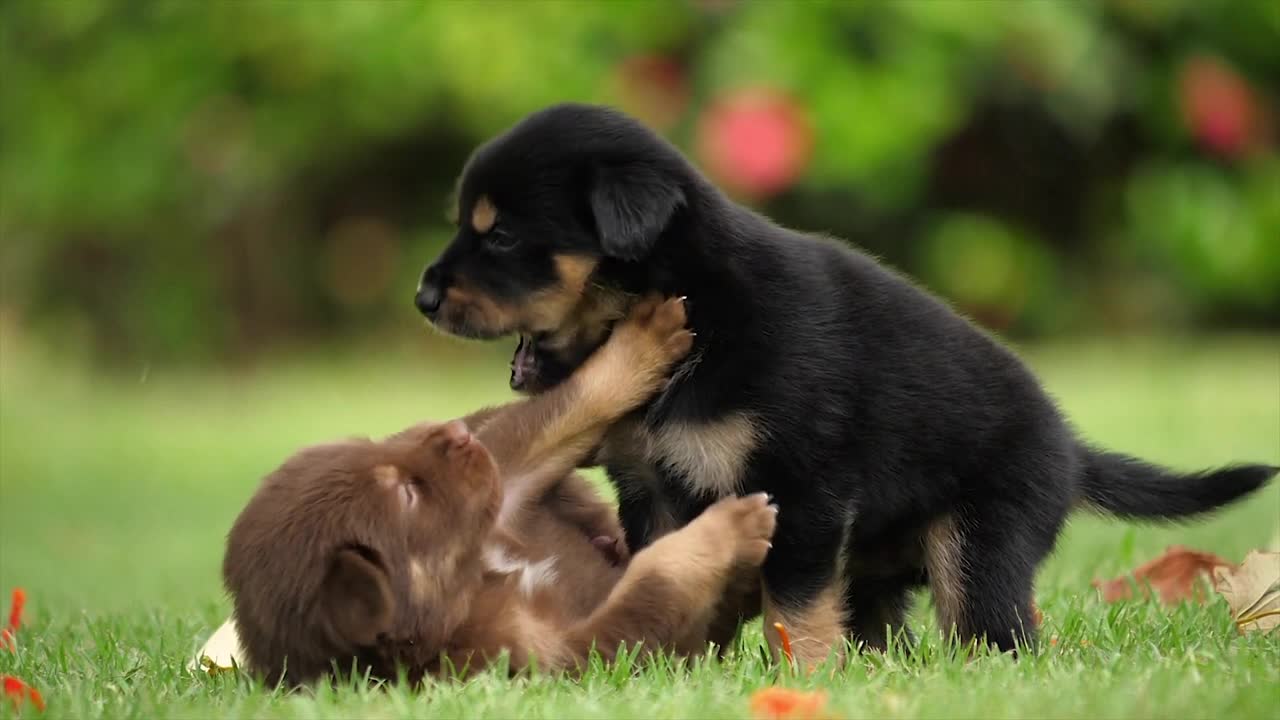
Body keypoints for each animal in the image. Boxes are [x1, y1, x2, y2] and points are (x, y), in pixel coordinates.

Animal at [224, 297, 773, 681]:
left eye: (373, 450)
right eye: (407, 495)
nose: (453, 433)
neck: (479, 576)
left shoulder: (505, 487)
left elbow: (564, 407)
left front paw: (644, 337)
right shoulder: (566, 650)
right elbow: (652, 585)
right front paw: (733, 526)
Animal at [414, 101, 1274, 661]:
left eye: (502, 235)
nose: (421, 298)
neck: (698, 305)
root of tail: (1071, 448)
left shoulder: (802, 490)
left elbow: (793, 605)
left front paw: (803, 677)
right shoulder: (652, 489)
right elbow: (673, 568)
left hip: (982, 541)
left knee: (996, 631)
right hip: (879, 565)